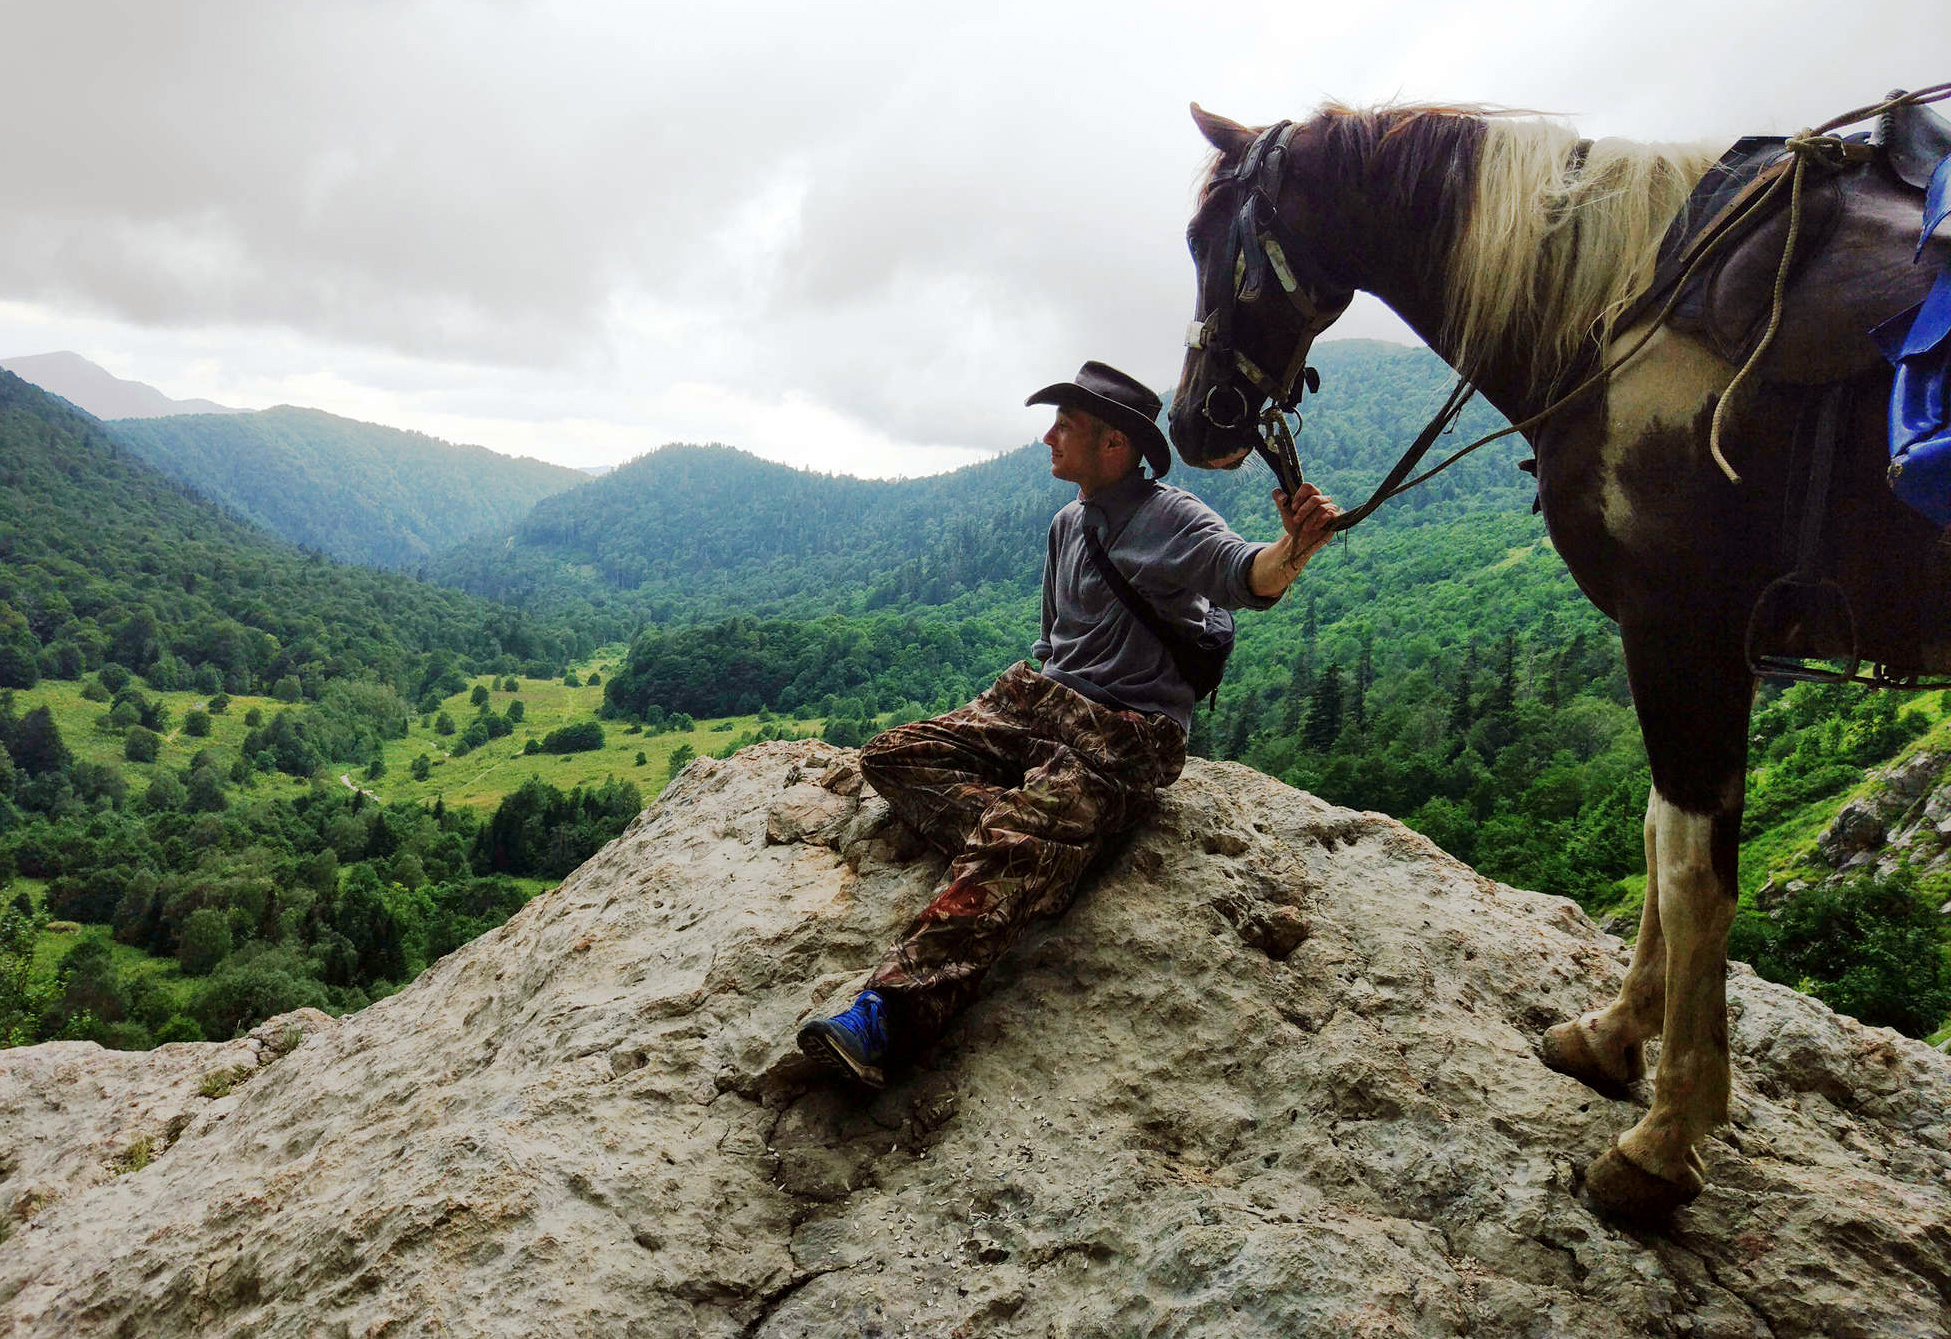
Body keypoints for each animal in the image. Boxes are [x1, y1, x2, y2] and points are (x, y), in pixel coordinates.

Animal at [1162, 97, 1951, 1225]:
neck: (1626, 301)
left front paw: (1663, 1140)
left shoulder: (1679, 631)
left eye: (1205, 240)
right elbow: (1661, 834)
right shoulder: (1688, 649)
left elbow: (1691, 869)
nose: (1192, 419)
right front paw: (1613, 1037)